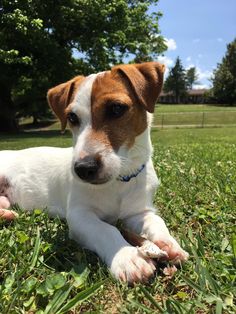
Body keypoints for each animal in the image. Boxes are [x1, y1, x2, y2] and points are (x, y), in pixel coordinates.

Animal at [0, 62, 188, 284]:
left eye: (116, 108)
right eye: (72, 117)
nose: (83, 168)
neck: (119, 180)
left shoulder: (139, 212)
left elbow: (156, 222)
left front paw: (168, 243)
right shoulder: (79, 216)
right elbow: (106, 229)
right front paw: (127, 256)